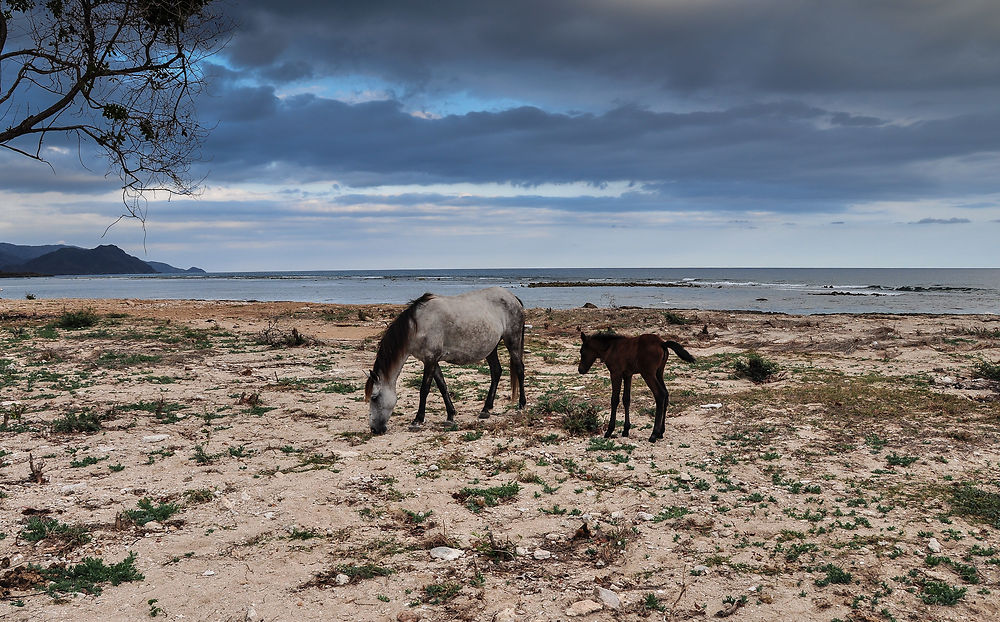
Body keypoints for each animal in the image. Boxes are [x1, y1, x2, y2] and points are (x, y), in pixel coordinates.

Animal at [364, 286, 528, 434]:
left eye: (374, 397)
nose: (374, 429)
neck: (418, 326)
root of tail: (512, 297)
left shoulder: (430, 360)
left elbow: (424, 390)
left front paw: (417, 420)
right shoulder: (431, 361)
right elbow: (442, 386)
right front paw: (450, 415)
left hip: (512, 342)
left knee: (519, 369)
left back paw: (521, 405)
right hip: (491, 348)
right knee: (496, 372)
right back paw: (486, 409)